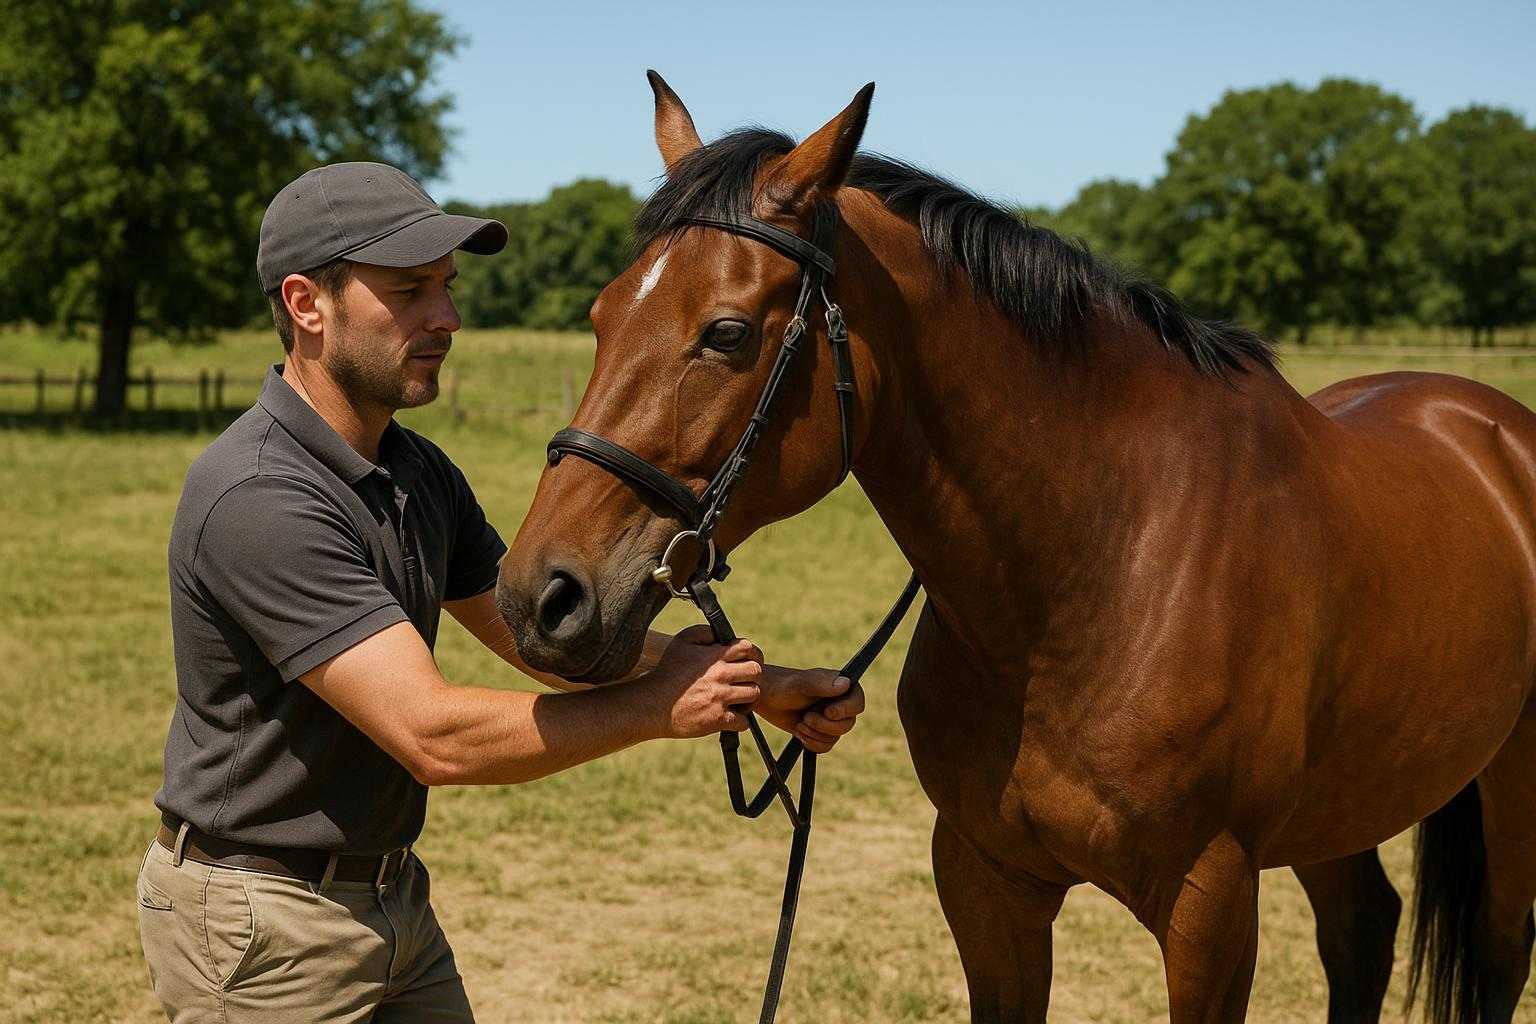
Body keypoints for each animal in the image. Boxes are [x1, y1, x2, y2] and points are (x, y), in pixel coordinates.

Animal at [495, 75, 1536, 1024]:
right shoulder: (984, 883)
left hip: (1506, 783)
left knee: (1496, 952)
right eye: (600, 315)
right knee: (1363, 931)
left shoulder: (1211, 907)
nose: (539, 596)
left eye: (726, 332)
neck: (1102, 572)